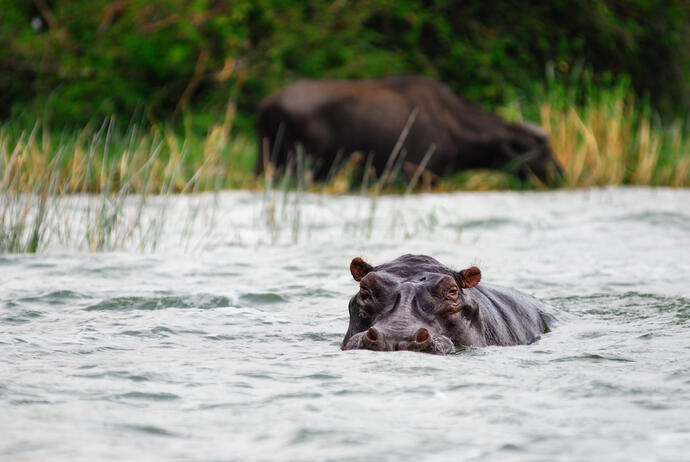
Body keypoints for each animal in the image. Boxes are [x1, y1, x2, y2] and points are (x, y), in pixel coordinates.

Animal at [255, 76, 560, 184]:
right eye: (540, 150)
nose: (561, 172)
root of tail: (266, 104)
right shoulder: (421, 174)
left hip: (265, 161)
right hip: (299, 166)